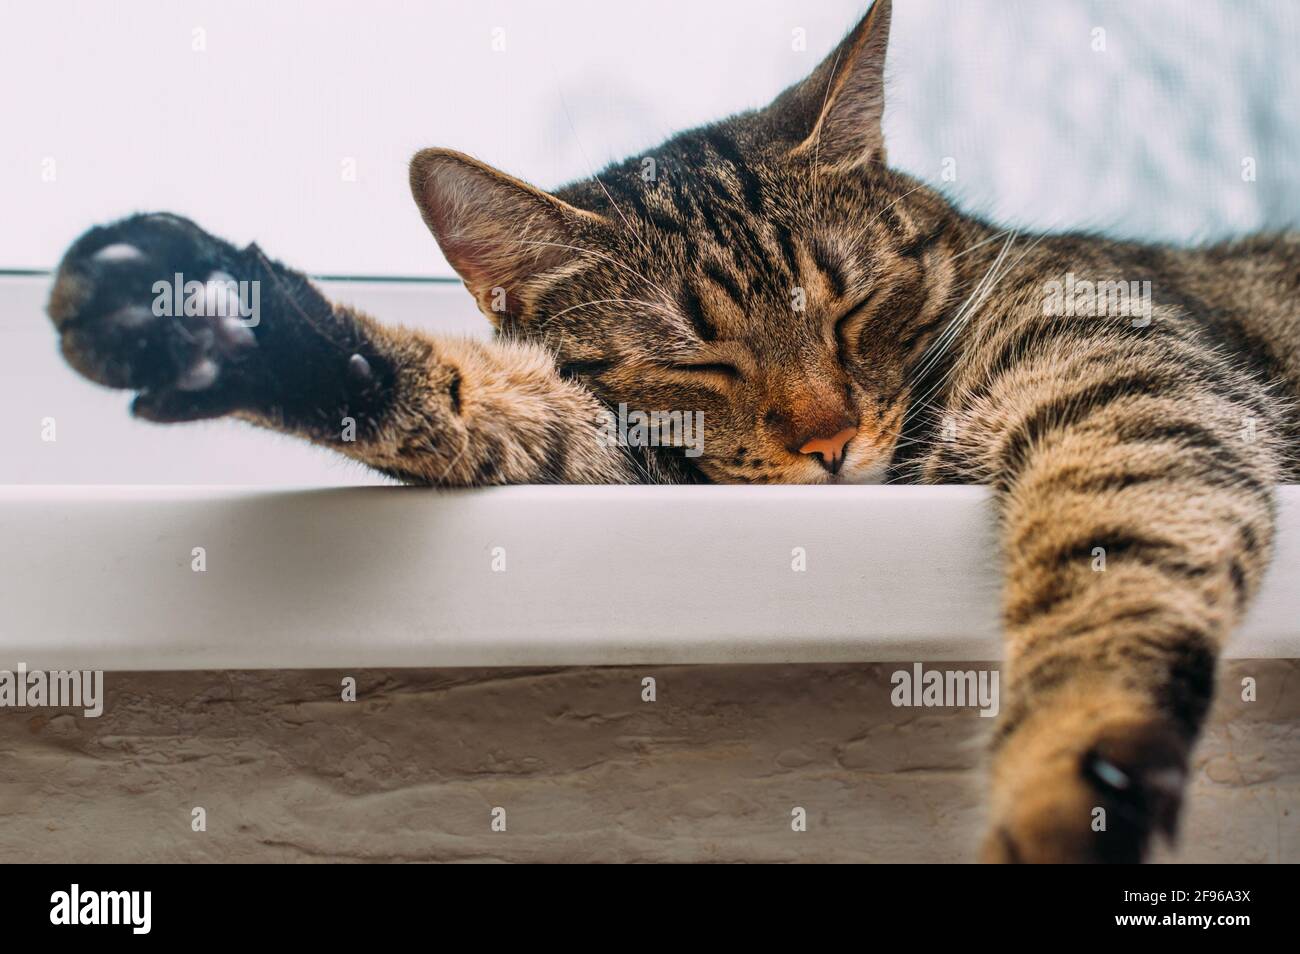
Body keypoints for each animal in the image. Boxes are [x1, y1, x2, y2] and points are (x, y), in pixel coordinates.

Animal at [48, 0, 1300, 868]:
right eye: (697, 364)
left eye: (849, 308)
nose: (831, 441)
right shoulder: (628, 451)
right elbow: (487, 401)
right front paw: (218, 315)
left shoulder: (1130, 389)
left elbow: (1113, 583)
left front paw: (1067, 796)